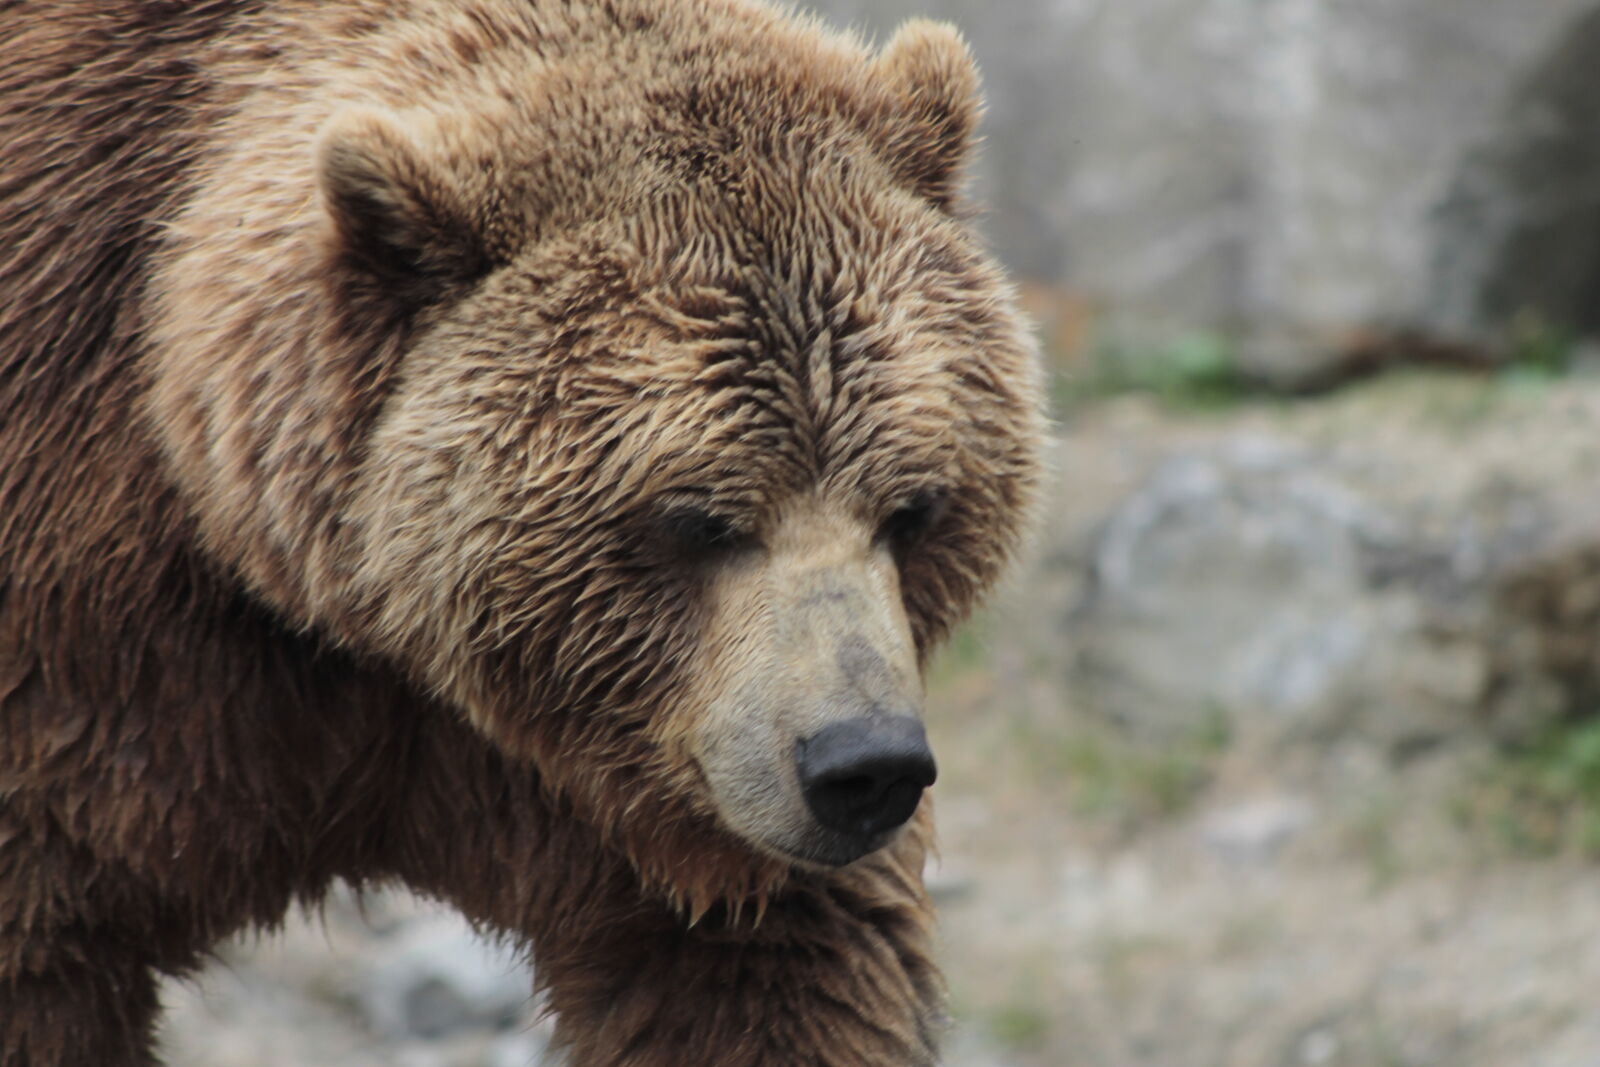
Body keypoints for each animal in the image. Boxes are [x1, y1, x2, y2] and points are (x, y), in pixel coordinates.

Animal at [0, 0, 1043, 1062]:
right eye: (699, 518)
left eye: (914, 508)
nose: (864, 764)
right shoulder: (99, 667)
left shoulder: (624, 764)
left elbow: (780, 968)